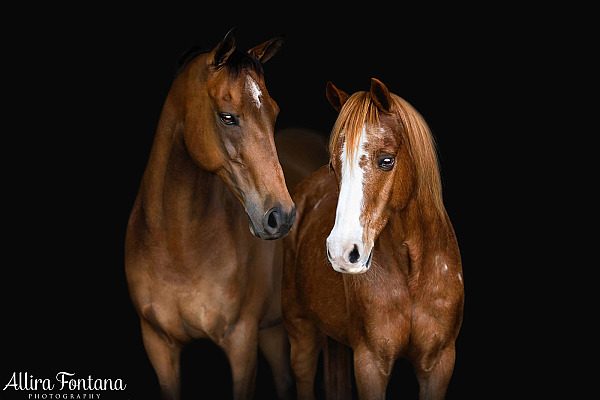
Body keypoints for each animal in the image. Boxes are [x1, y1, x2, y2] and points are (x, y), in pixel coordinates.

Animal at [126, 30, 296, 400]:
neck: (179, 249)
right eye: (227, 116)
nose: (283, 216)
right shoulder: (158, 345)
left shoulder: (241, 343)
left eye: (274, 112)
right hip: (274, 330)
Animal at [282, 79, 464, 400]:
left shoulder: (439, 364)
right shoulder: (371, 363)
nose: (341, 252)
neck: (412, 273)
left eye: (386, 161)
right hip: (301, 332)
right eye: (334, 165)